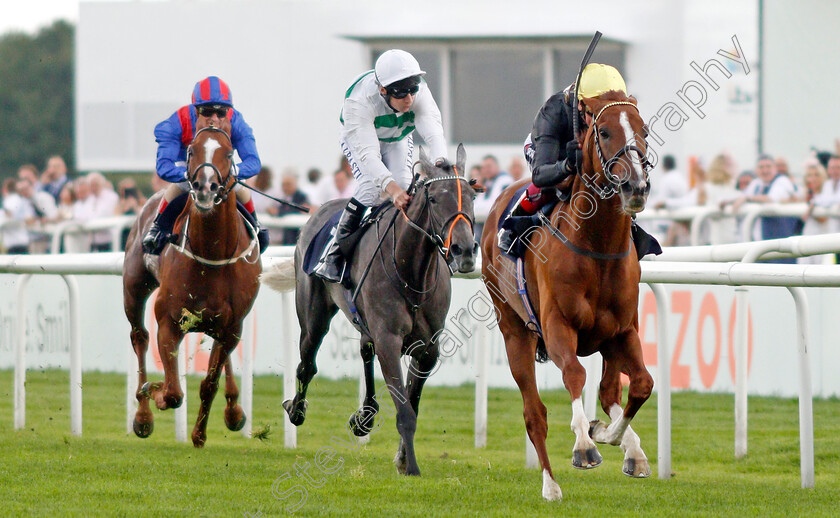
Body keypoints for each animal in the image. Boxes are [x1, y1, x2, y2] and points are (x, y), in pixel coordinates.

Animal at [121, 117, 260, 446]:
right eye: (191, 150)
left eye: (229, 152)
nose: (205, 187)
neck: (211, 252)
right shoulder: (169, 320)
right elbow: (173, 392)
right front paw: (154, 393)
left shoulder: (232, 326)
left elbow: (208, 383)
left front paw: (199, 434)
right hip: (134, 287)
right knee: (139, 337)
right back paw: (142, 416)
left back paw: (234, 410)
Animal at [266, 144, 482, 478]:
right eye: (434, 198)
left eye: (472, 196)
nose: (465, 250)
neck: (412, 273)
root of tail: (316, 214)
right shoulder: (389, 340)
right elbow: (404, 410)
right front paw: (412, 466)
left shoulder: (428, 348)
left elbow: (412, 401)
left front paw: (403, 458)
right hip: (314, 316)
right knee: (306, 364)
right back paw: (297, 409)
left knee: (365, 351)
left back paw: (364, 416)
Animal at [482, 91, 652, 502]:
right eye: (603, 132)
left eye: (644, 130)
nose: (636, 187)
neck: (597, 247)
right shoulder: (558, 325)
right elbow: (574, 373)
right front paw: (584, 446)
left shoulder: (624, 330)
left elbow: (641, 384)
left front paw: (607, 434)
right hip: (514, 330)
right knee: (534, 413)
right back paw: (550, 485)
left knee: (609, 390)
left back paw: (631, 449)